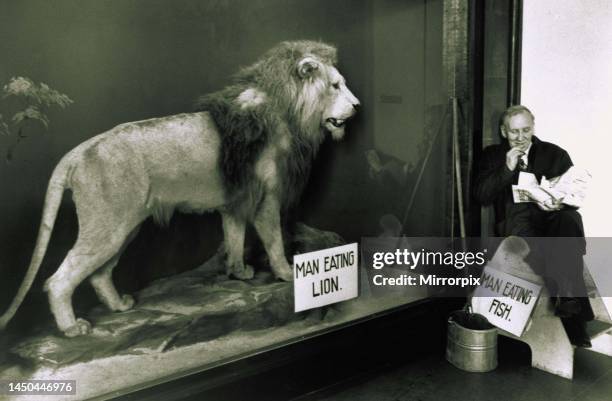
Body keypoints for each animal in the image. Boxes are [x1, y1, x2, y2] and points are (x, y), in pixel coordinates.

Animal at [0, 40, 360, 336]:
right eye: (335, 85)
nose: (357, 106)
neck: (286, 111)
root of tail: (76, 153)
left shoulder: (235, 200)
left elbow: (234, 236)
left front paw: (238, 272)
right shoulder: (264, 198)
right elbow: (273, 240)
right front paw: (286, 273)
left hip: (124, 226)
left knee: (99, 275)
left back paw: (120, 307)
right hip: (107, 226)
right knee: (58, 281)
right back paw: (72, 328)